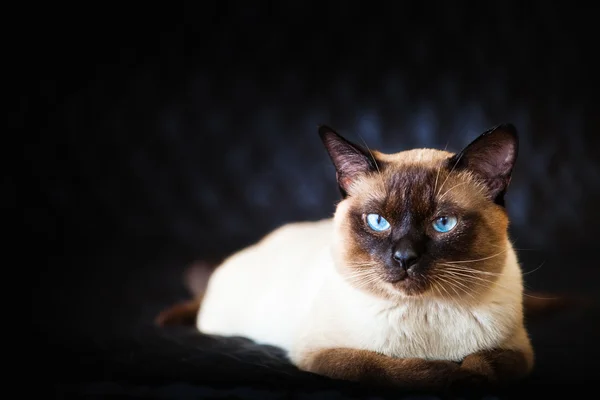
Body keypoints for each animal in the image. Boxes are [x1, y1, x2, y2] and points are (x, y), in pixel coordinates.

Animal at [155, 123, 564, 390]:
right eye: (378, 221)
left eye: (443, 223)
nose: (404, 258)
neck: (425, 315)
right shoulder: (322, 354)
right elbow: (390, 369)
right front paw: (449, 375)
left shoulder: (518, 353)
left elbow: (485, 364)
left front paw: (467, 373)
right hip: (219, 318)